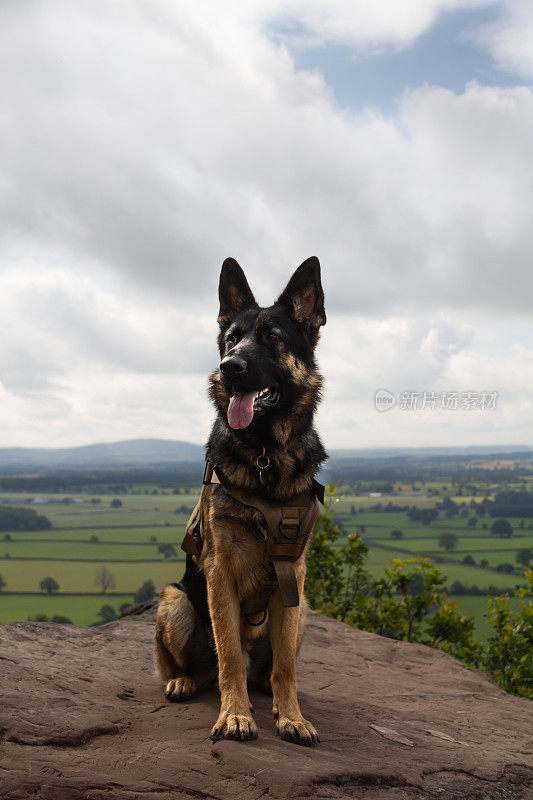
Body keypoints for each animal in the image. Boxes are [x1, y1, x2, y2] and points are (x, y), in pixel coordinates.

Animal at [154, 256, 326, 744]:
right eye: (231, 338)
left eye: (272, 337)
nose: (229, 366)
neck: (264, 454)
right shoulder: (219, 574)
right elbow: (229, 651)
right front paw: (234, 714)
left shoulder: (293, 578)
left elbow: (286, 667)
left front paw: (293, 716)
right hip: (175, 602)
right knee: (189, 665)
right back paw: (184, 681)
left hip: (304, 610)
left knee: (267, 670)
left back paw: (267, 695)